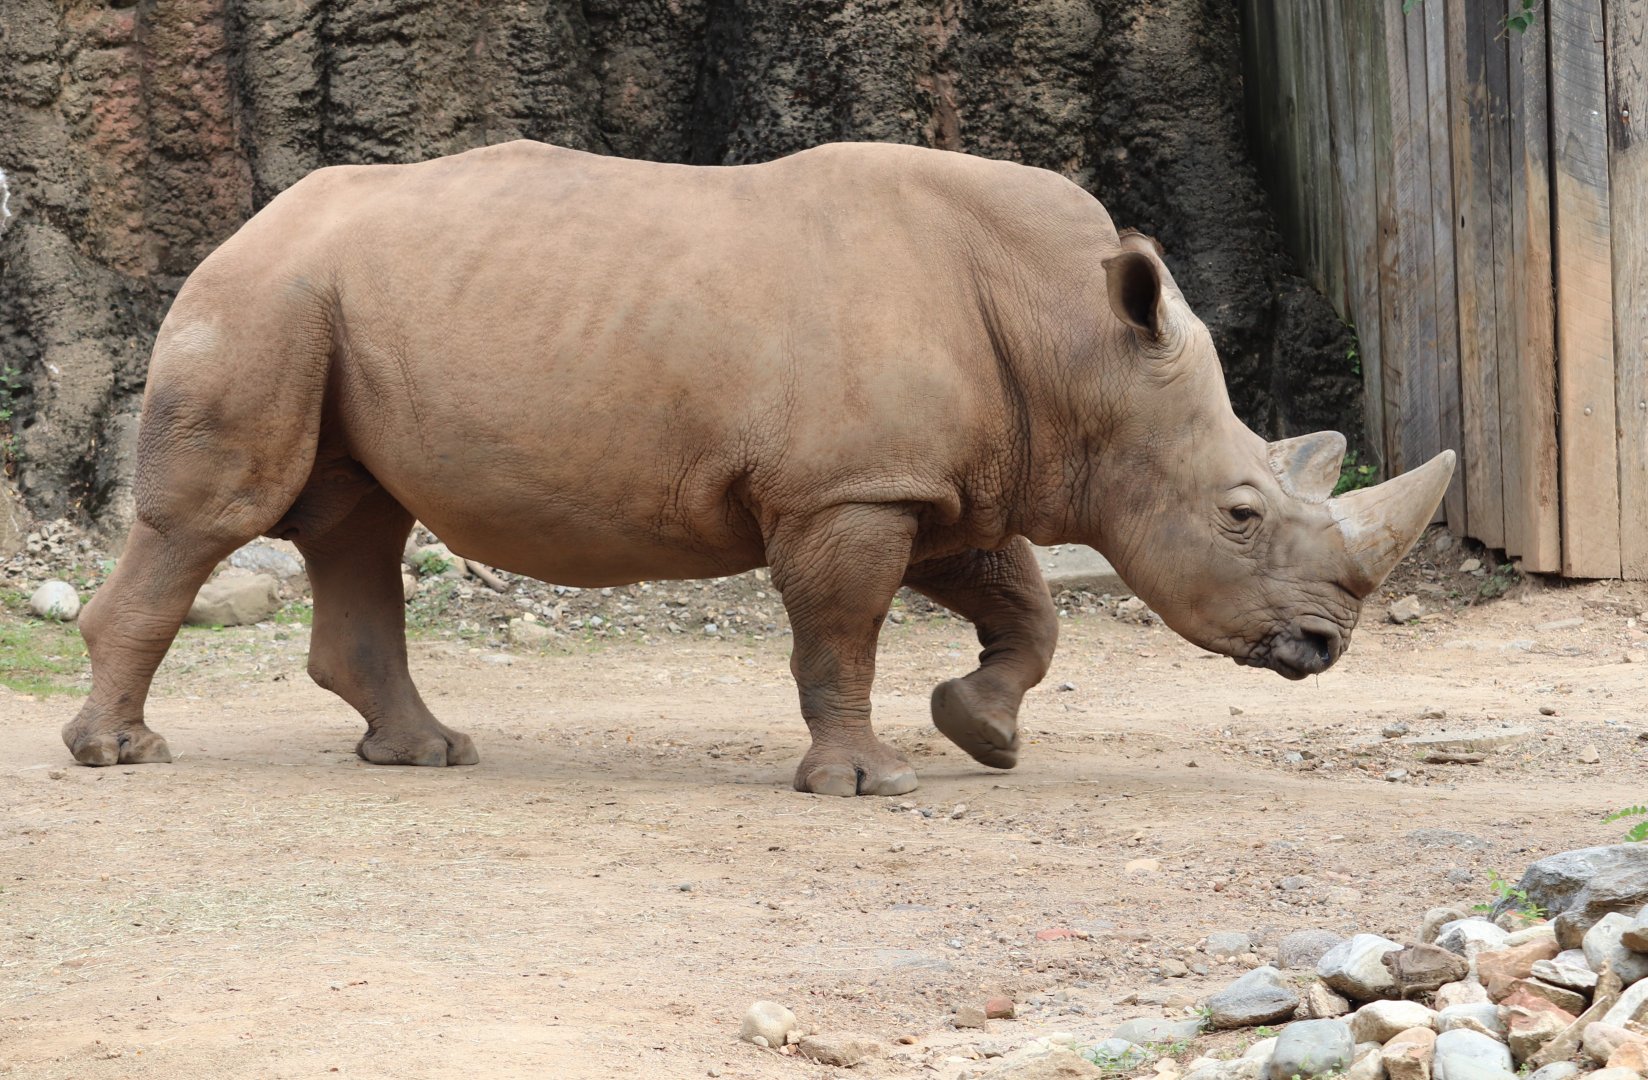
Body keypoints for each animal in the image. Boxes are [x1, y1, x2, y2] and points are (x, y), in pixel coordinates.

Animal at [62, 141, 1453, 795]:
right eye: (1238, 513)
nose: (1323, 648)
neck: (1077, 350)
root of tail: (249, 219)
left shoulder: (943, 481)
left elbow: (1027, 610)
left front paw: (984, 734)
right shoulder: (849, 488)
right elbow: (840, 637)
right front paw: (868, 782)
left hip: (330, 296)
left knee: (361, 521)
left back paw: (428, 756)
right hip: (265, 296)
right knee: (219, 517)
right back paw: (122, 757)